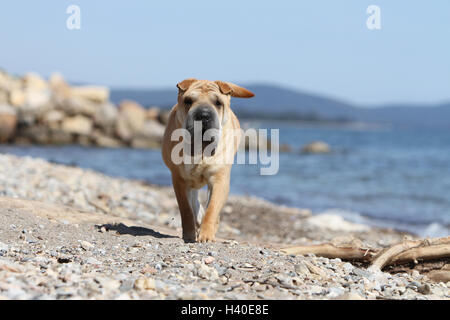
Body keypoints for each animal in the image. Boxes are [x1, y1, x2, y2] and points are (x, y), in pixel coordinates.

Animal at [163, 79, 255, 241]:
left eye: (218, 103)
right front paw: (189, 234)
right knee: (194, 202)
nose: (203, 115)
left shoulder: (219, 179)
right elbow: (186, 209)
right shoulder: (179, 179)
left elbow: (212, 209)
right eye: (188, 101)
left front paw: (206, 235)